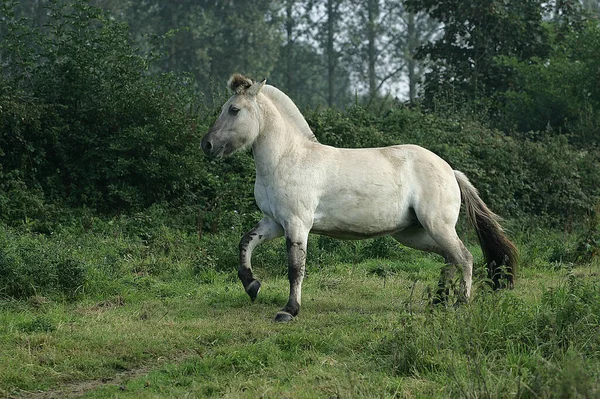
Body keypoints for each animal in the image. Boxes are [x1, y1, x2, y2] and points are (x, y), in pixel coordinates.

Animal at [199, 75, 516, 324]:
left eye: (234, 109)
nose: (207, 145)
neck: (287, 158)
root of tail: (450, 170)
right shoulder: (274, 222)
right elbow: (245, 243)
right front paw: (251, 285)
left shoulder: (296, 223)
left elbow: (295, 267)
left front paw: (288, 310)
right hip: (413, 233)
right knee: (450, 258)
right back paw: (437, 303)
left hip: (437, 226)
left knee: (464, 257)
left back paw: (461, 303)